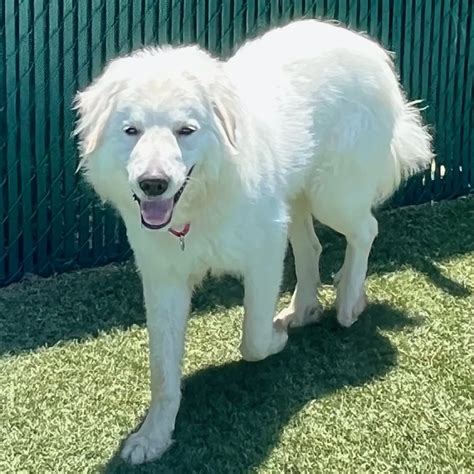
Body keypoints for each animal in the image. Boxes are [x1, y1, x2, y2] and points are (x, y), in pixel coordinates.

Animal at [75, 19, 434, 462]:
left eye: (185, 130)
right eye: (131, 131)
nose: (152, 183)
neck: (201, 202)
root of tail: (366, 46)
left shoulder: (264, 254)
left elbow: (253, 340)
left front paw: (277, 342)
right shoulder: (164, 279)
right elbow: (162, 372)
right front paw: (154, 437)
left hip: (330, 195)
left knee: (365, 230)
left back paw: (349, 300)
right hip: (296, 199)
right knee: (313, 247)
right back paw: (303, 309)